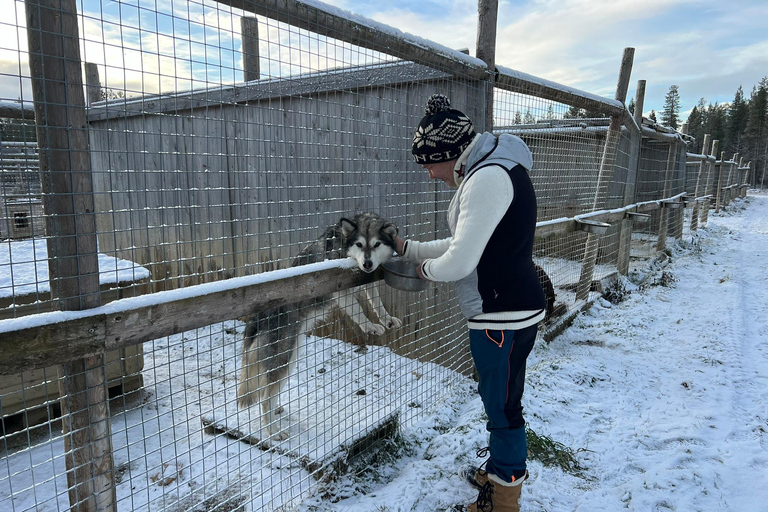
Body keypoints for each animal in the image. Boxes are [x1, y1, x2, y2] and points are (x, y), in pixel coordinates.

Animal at [237, 212, 400, 440]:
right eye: (359, 244)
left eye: (376, 244)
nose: (367, 264)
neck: (343, 243)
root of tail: (257, 318)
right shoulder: (340, 290)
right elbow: (358, 311)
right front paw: (370, 326)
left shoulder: (366, 281)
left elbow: (377, 304)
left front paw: (387, 319)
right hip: (282, 359)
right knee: (264, 398)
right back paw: (273, 432)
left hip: (290, 358)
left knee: (269, 394)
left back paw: (276, 410)